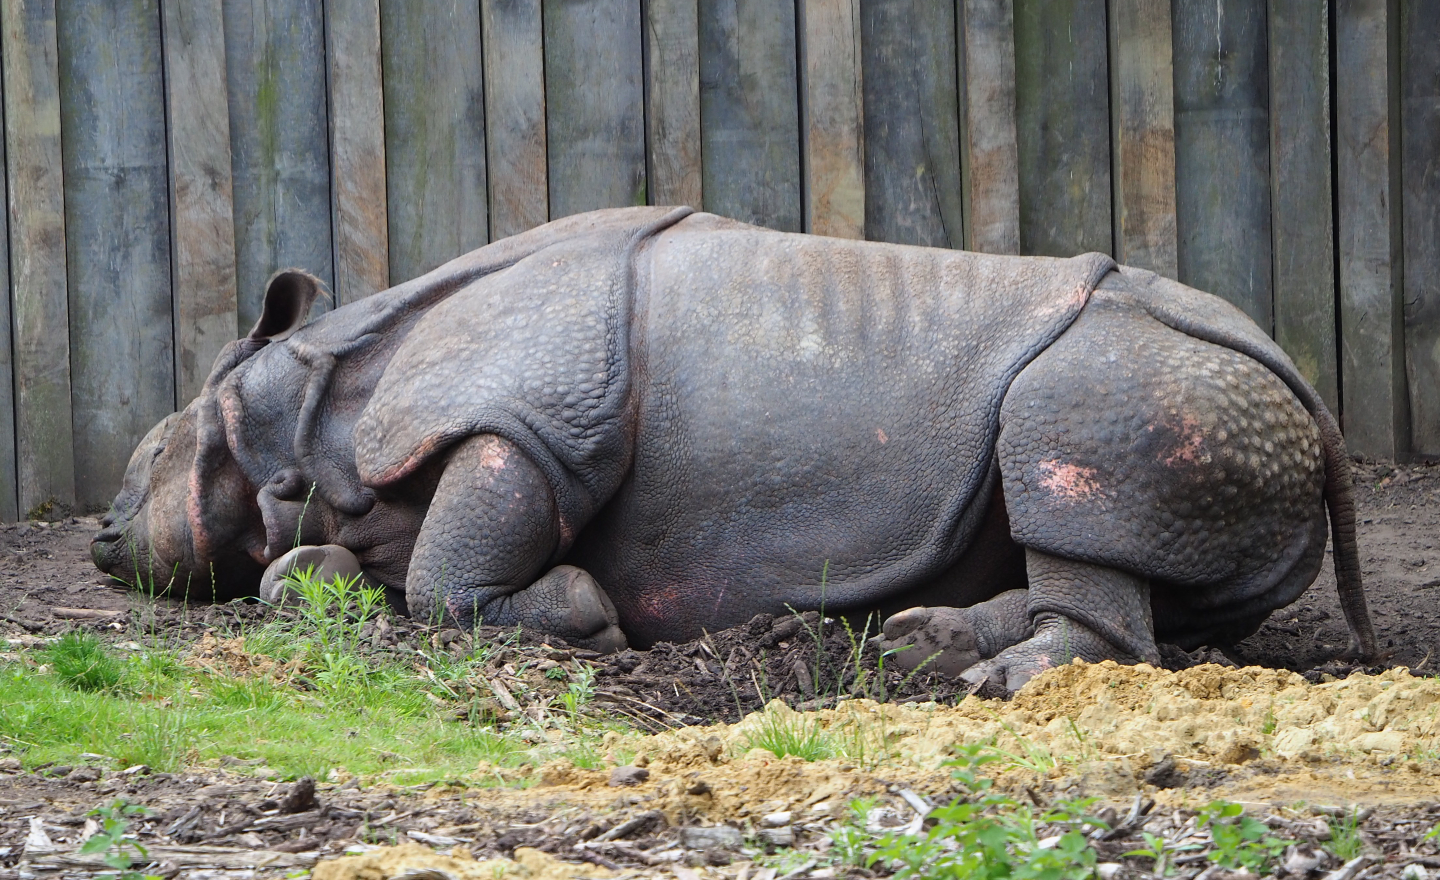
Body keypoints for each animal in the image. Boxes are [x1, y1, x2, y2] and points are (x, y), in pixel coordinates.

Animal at [92, 207, 1375, 692]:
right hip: (1210, 388)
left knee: (1067, 445)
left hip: (1146, 371)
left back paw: (988, 679)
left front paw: (586, 614)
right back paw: (921, 642)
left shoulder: (536, 418)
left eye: (148, 456)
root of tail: (1310, 397)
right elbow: (316, 575)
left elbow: (451, 572)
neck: (312, 400)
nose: (102, 542)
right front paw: (318, 581)